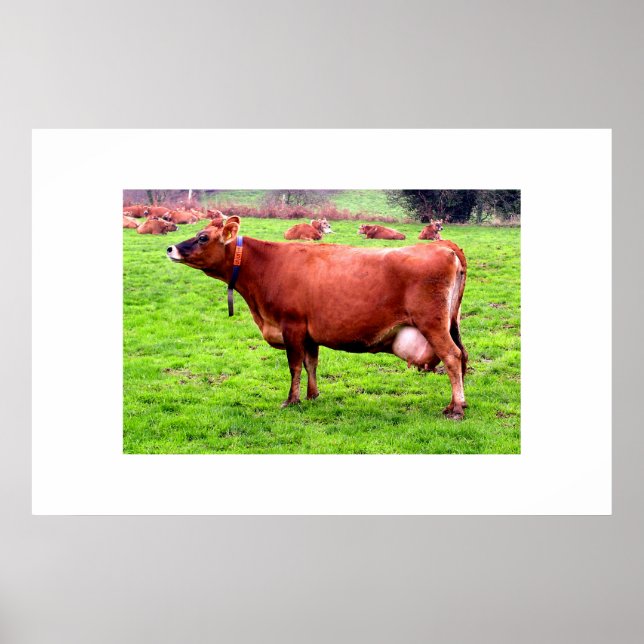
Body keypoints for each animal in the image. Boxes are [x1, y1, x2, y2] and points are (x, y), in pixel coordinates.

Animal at [167, 217, 468, 419]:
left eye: (203, 237)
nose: (171, 248)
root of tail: (444, 246)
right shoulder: (310, 333)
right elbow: (311, 363)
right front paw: (313, 396)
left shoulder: (292, 327)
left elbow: (294, 366)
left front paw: (292, 400)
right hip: (449, 324)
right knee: (462, 355)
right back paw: (459, 403)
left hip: (433, 324)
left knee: (452, 357)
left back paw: (456, 408)